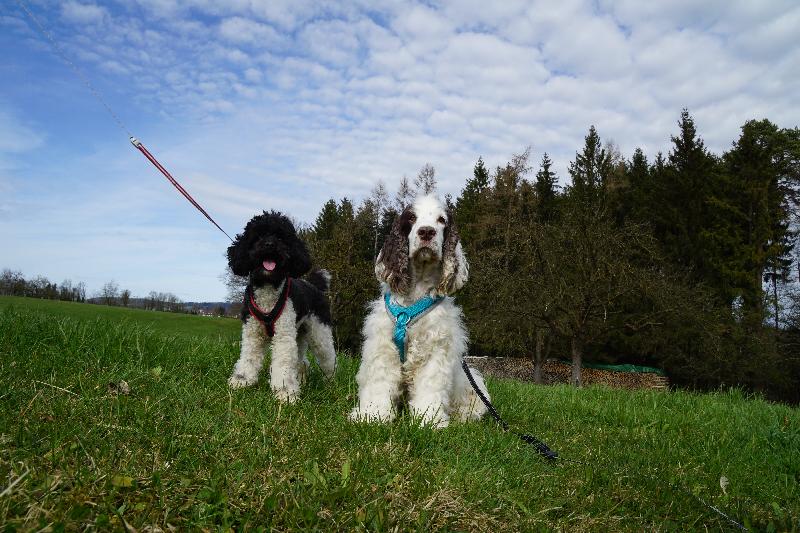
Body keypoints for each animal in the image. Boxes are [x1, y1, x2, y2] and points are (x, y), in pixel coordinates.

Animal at [227, 211, 336, 403]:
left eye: (281, 237)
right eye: (258, 236)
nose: (270, 244)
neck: (268, 286)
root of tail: (314, 285)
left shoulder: (284, 335)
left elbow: (283, 364)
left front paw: (285, 392)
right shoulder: (252, 333)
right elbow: (248, 357)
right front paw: (242, 380)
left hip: (319, 333)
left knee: (328, 359)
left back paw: (329, 383)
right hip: (299, 335)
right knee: (301, 361)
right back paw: (301, 380)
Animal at [350, 195, 489, 427]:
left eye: (441, 220)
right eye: (411, 218)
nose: (426, 232)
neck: (414, 293)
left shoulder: (435, 348)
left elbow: (430, 387)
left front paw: (429, 421)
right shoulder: (384, 348)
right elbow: (380, 383)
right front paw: (372, 415)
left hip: (471, 385)